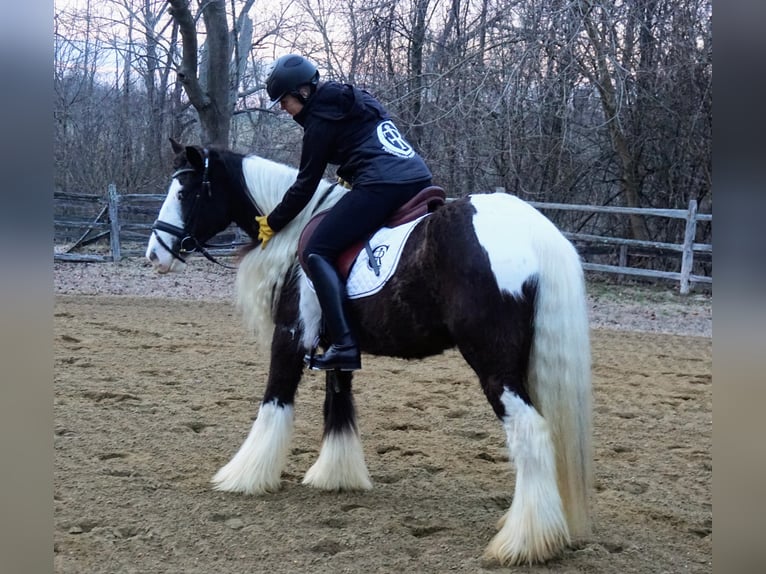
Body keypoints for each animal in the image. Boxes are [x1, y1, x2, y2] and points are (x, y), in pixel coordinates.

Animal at [147, 141, 596, 568]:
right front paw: (335, 475)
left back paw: (524, 542)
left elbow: (275, 401)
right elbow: (338, 402)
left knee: (530, 432)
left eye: (185, 191)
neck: (294, 232)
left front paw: (243, 475)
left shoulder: (290, 337)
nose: (155, 253)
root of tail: (533, 231)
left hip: (494, 365)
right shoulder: (338, 348)